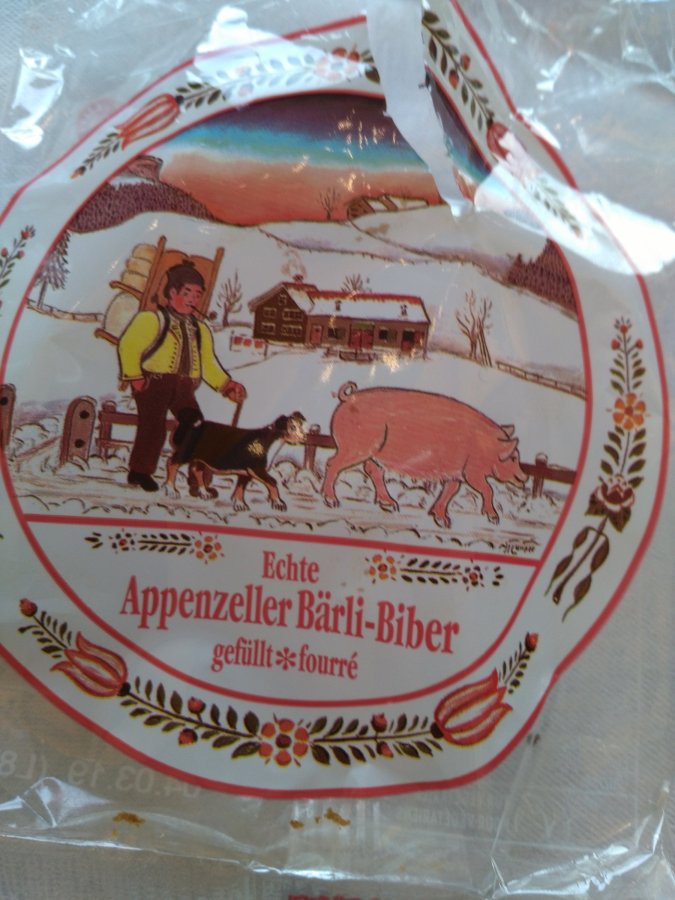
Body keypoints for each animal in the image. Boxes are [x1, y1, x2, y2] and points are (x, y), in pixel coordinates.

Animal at [166, 408, 305, 510]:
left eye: (300, 425)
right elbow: (272, 483)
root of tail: (194, 425)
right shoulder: (256, 469)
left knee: (196, 471)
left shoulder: (246, 472)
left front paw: (239, 504)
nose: (304, 437)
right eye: (292, 427)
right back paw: (171, 490)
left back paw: (204, 492)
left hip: (202, 458)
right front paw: (278, 503)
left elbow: (240, 488)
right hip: (186, 453)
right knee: (172, 463)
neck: (268, 442)